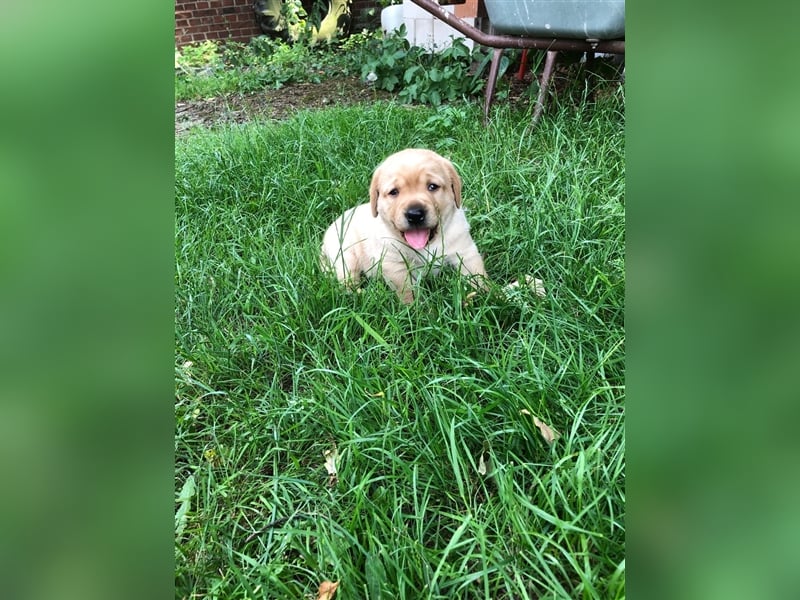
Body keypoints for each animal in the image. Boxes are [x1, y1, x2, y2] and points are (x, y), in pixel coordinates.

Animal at [320, 148, 488, 302]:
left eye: (432, 186)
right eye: (394, 192)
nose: (415, 214)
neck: (427, 245)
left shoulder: (465, 251)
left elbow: (477, 275)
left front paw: (488, 295)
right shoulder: (394, 265)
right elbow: (407, 291)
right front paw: (415, 310)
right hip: (344, 256)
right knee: (347, 280)